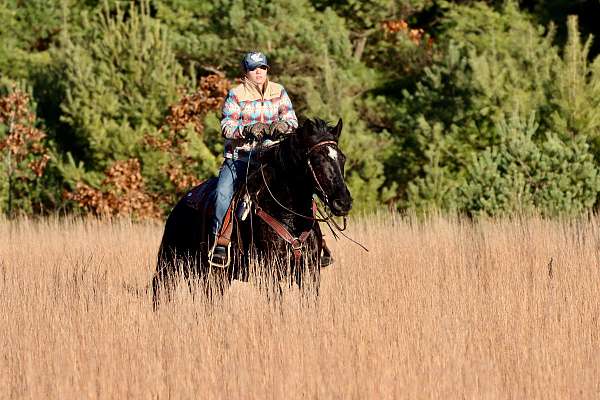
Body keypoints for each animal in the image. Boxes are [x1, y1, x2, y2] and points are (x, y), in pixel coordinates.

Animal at [151, 117, 352, 304]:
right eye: (317, 160)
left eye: (342, 158)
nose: (343, 202)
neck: (289, 215)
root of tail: (182, 203)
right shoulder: (268, 273)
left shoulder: (310, 272)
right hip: (169, 264)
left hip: (215, 275)